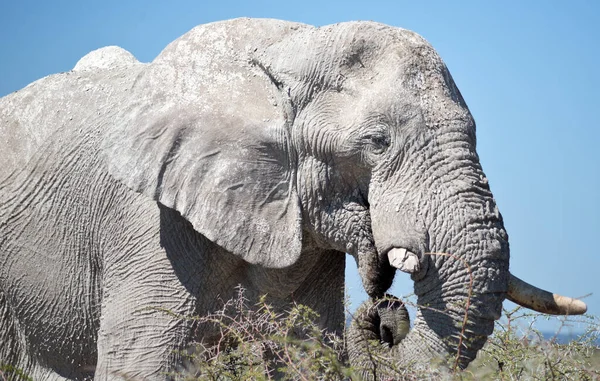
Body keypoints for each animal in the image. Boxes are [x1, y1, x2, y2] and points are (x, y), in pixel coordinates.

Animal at [0, 18, 584, 380]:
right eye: (378, 142)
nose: (384, 311)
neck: (291, 47)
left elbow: (307, 356)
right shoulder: (149, 229)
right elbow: (141, 365)